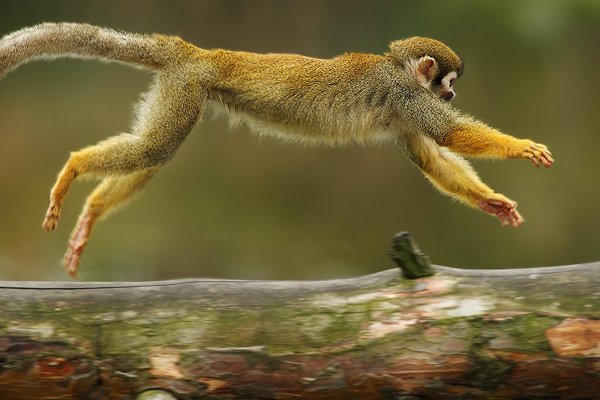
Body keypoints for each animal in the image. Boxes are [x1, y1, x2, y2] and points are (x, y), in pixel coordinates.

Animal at [0, 24, 552, 276]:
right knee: (155, 147)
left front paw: (493, 203)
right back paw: (73, 169)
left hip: (180, 88)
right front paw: (523, 148)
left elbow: (431, 156)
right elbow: (447, 136)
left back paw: (91, 210)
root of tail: (193, 50)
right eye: (449, 83)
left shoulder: (404, 110)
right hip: (188, 85)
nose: (452, 95)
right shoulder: (406, 96)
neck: (399, 70)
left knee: (156, 151)